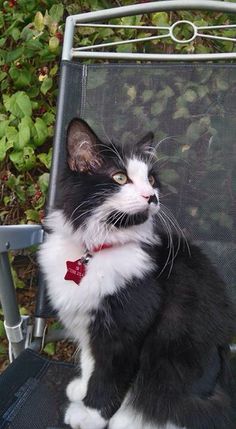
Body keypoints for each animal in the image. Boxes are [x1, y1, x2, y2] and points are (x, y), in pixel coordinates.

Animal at [38, 118, 234, 428]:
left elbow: (108, 376)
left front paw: (91, 414)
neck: (97, 250)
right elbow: (91, 361)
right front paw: (83, 389)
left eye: (151, 180)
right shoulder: (91, 322)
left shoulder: (126, 328)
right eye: (120, 178)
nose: (151, 196)